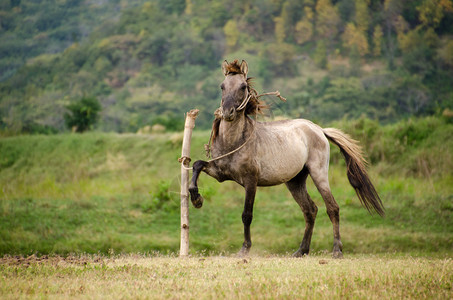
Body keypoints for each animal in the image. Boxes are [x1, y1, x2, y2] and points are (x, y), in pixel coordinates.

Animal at [189, 59, 384, 258]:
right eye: (222, 86)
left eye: (243, 86)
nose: (228, 113)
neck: (234, 141)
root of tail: (319, 130)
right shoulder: (219, 173)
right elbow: (197, 165)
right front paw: (197, 199)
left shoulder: (250, 181)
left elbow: (247, 215)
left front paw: (245, 249)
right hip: (295, 181)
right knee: (310, 210)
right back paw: (301, 251)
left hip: (319, 174)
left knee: (332, 208)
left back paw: (336, 250)